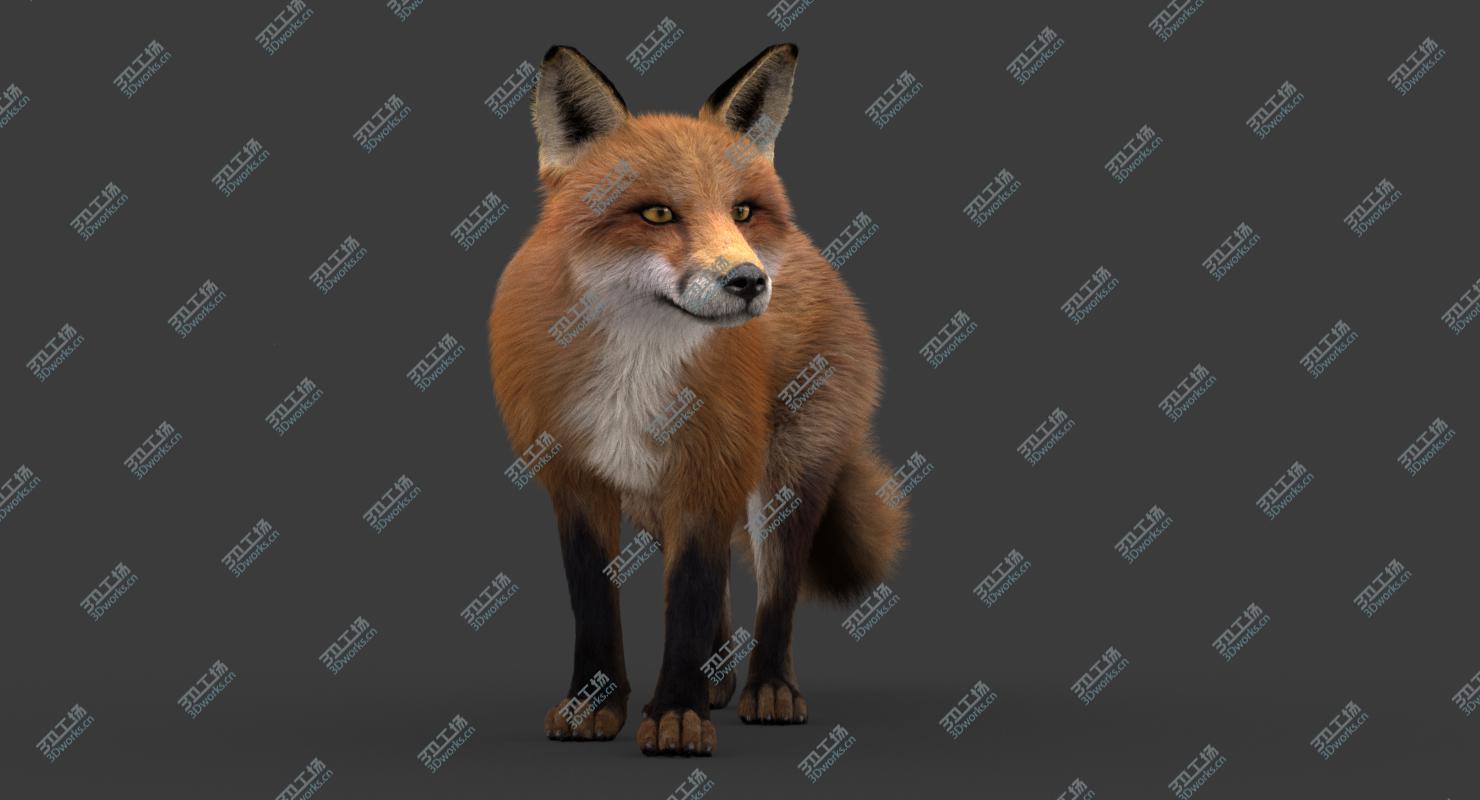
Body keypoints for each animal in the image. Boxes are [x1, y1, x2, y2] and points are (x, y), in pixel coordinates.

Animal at [487, 43, 906, 757]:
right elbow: (597, 599)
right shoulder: (575, 478)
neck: (633, 375)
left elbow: (691, 593)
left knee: (773, 591)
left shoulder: (710, 466)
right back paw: (718, 679)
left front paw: (675, 715)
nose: (749, 281)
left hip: (784, 478)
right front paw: (595, 703)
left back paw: (769, 688)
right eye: (657, 214)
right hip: (654, 499)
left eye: (741, 212)